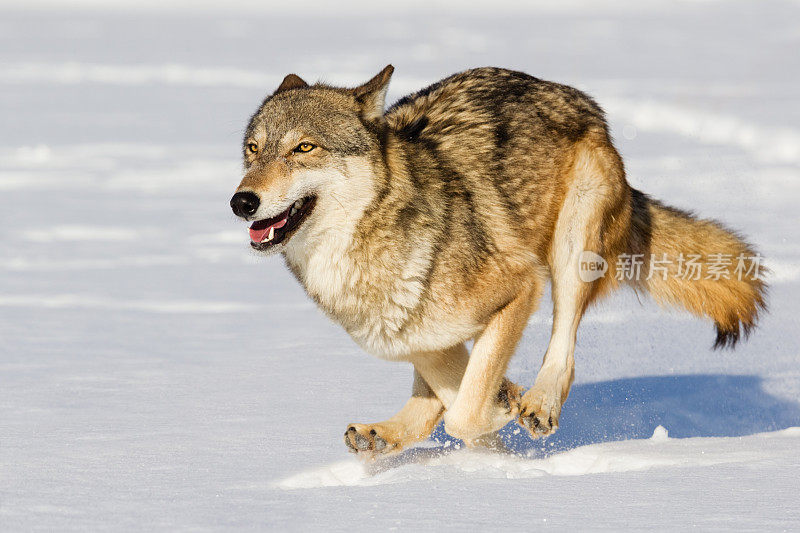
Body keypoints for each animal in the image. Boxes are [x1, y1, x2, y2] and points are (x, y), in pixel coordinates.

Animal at [228, 66, 764, 456]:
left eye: (304, 147)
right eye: (253, 150)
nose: (242, 202)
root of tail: (573, 96)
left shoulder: (519, 285)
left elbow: (465, 412)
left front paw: (503, 412)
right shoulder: (408, 329)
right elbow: (456, 390)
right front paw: (498, 412)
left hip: (572, 248)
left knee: (563, 344)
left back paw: (539, 402)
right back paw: (385, 432)